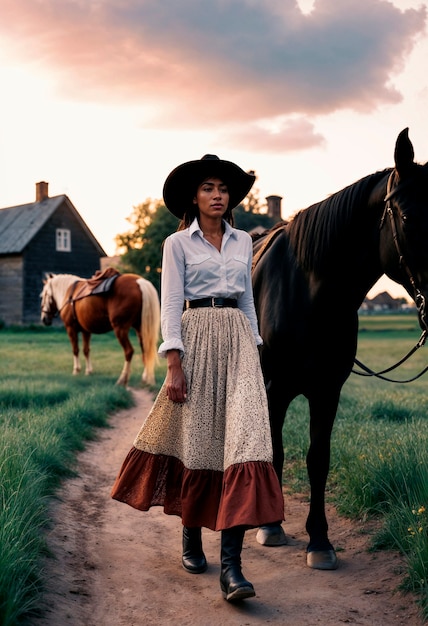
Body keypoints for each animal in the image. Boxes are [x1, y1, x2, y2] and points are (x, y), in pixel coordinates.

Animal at [252, 129, 428, 568]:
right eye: (407, 217)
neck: (310, 291)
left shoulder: (327, 390)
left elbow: (319, 459)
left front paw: (319, 541)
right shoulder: (275, 389)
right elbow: (276, 449)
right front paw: (271, 524)